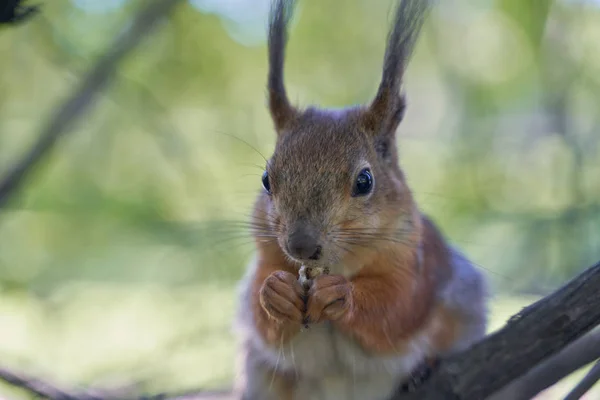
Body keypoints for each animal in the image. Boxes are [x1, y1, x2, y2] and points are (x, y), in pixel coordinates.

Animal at [232, 0, 490, 400]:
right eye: (266, 180)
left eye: (365, 181)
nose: (301, 245)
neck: (337, 265)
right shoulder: (267, 255)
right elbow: (263, 320)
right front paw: (275, 292)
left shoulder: (416, 263)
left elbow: (398, 308)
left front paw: (341, 295)